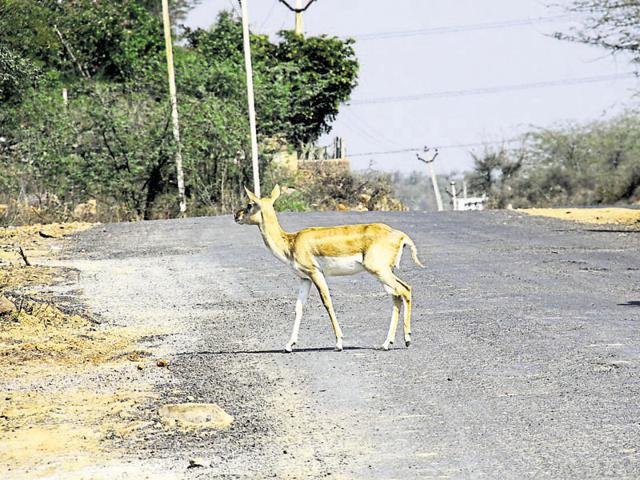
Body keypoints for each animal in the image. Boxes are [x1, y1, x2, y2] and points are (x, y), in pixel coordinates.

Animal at [234, 185, 424, 353]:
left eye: (250, 204)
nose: (236, 215)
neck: (291, 242)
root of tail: (400, 235)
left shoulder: (315, 273)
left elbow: (327, 302)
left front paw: (339, 343)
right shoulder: (304, 278)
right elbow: (299, 308)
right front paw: (289, 345)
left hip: (380, 272)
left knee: (405, 290)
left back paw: (407, 339)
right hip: (384, 273)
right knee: (397, 295)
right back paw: (386, 343)